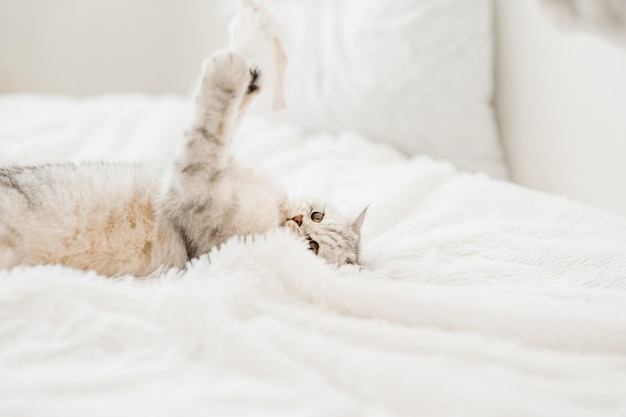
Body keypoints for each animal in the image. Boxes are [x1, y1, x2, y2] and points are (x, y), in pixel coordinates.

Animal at [1, 50, 366, 278]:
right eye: (318, 215)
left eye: (312, 247)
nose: (297, 219)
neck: (273, 211)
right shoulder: (192, 167)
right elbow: (222, 129)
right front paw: (249, 79)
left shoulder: (194, 192)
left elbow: (207, 130)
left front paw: (227, 71)